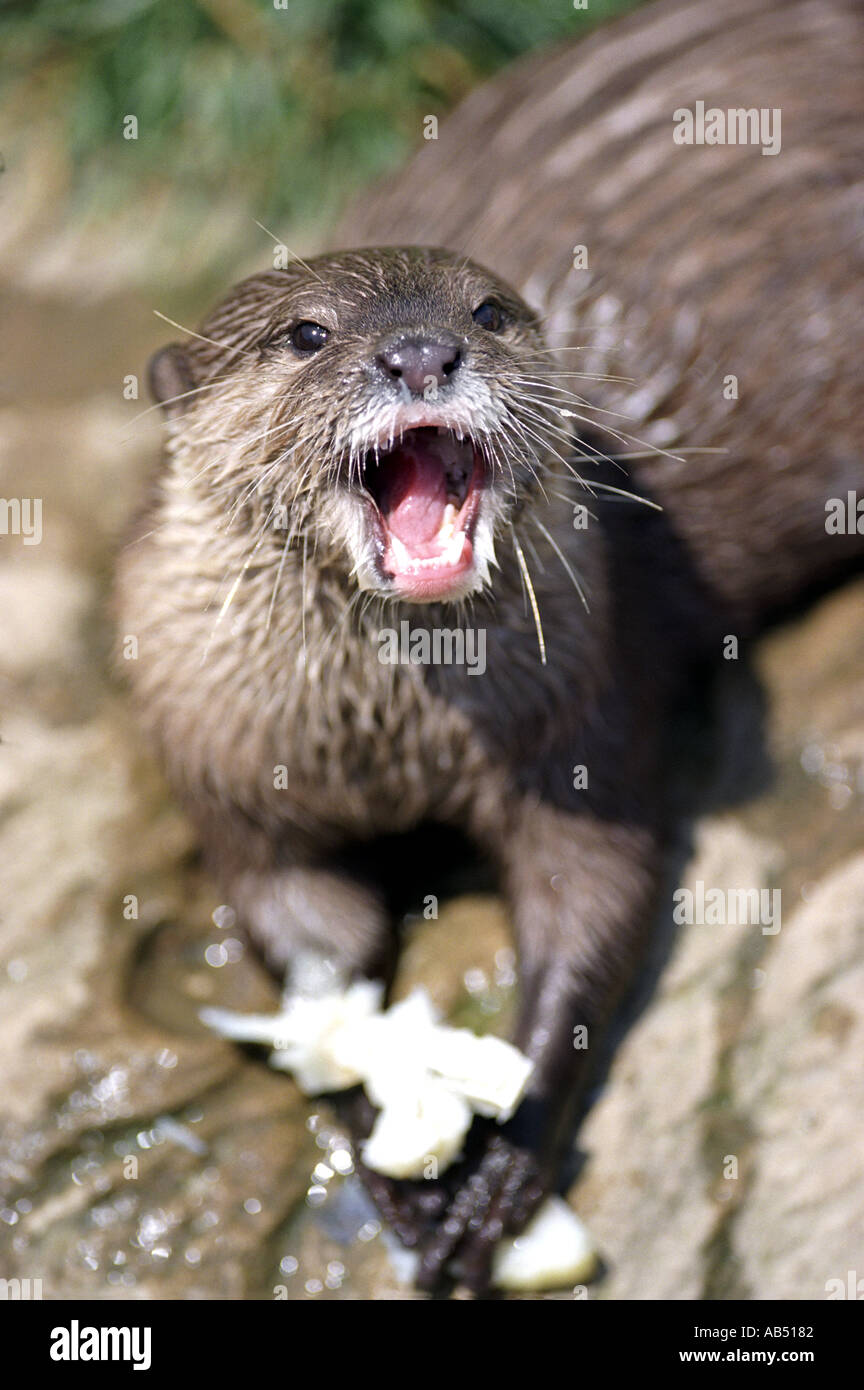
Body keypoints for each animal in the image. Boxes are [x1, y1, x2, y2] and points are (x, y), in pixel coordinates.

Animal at [117, 0, 864, 1292]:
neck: (388, 737)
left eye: (488, 312)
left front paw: (506, 1153)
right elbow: (307, 940)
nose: (419, 353)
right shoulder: (224, 759)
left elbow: (593, 896)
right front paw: (374, 1115)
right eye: (305, 334)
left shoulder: (585, 702)